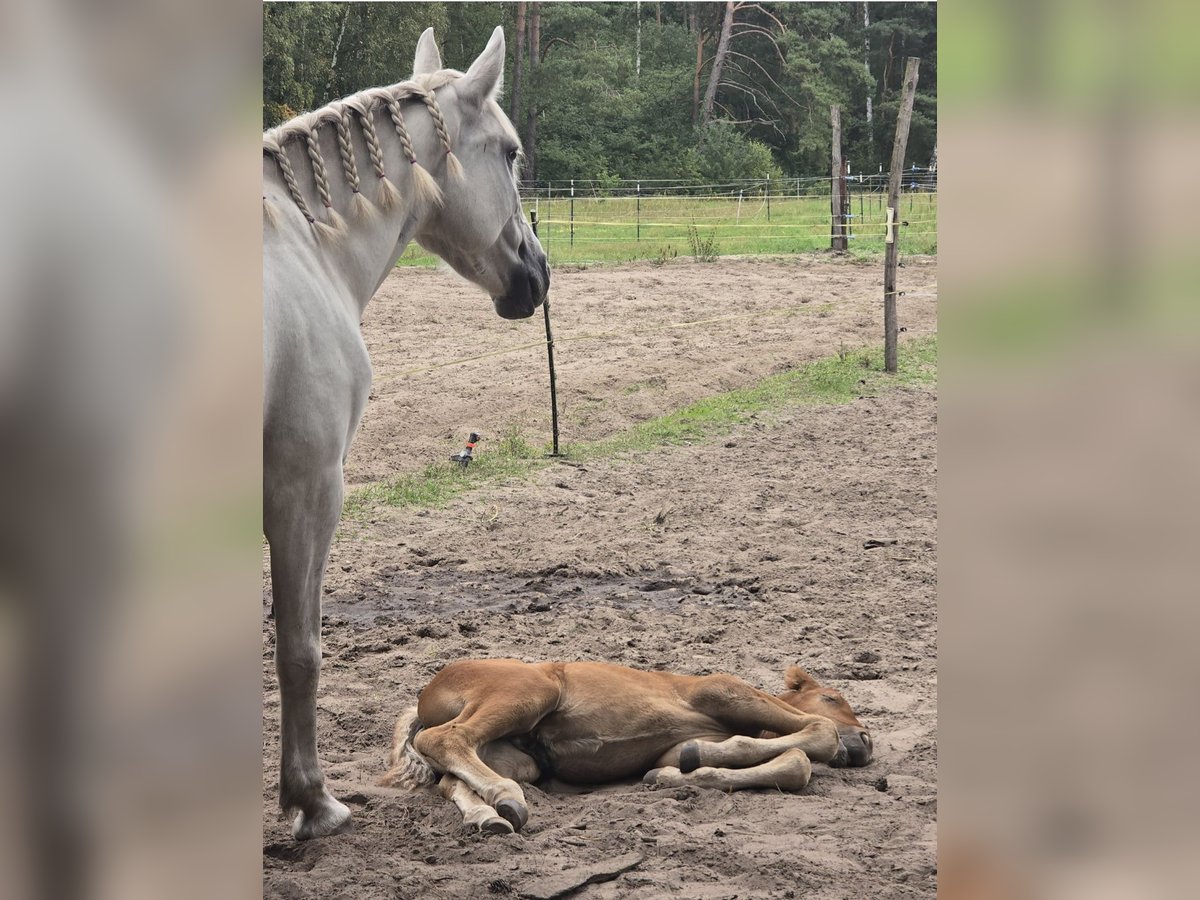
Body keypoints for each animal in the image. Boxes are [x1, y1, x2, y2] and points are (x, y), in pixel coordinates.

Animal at [263, 27, 549, 840]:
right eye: (510, 153)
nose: (539, 271)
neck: (306, 244)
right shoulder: (306, 485)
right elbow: (300, 648)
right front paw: (313, 803)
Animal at [380, 660, 873, 835]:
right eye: (833, 697)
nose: (866, 741)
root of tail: (425, 695)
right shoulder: (723, 689)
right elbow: (817, 737)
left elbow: (788, 760)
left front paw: (683, 769)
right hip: (529, 692)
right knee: (443, 738)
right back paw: (504, 799)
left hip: (513, 756)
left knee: (450, 778)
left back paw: (493, 816)